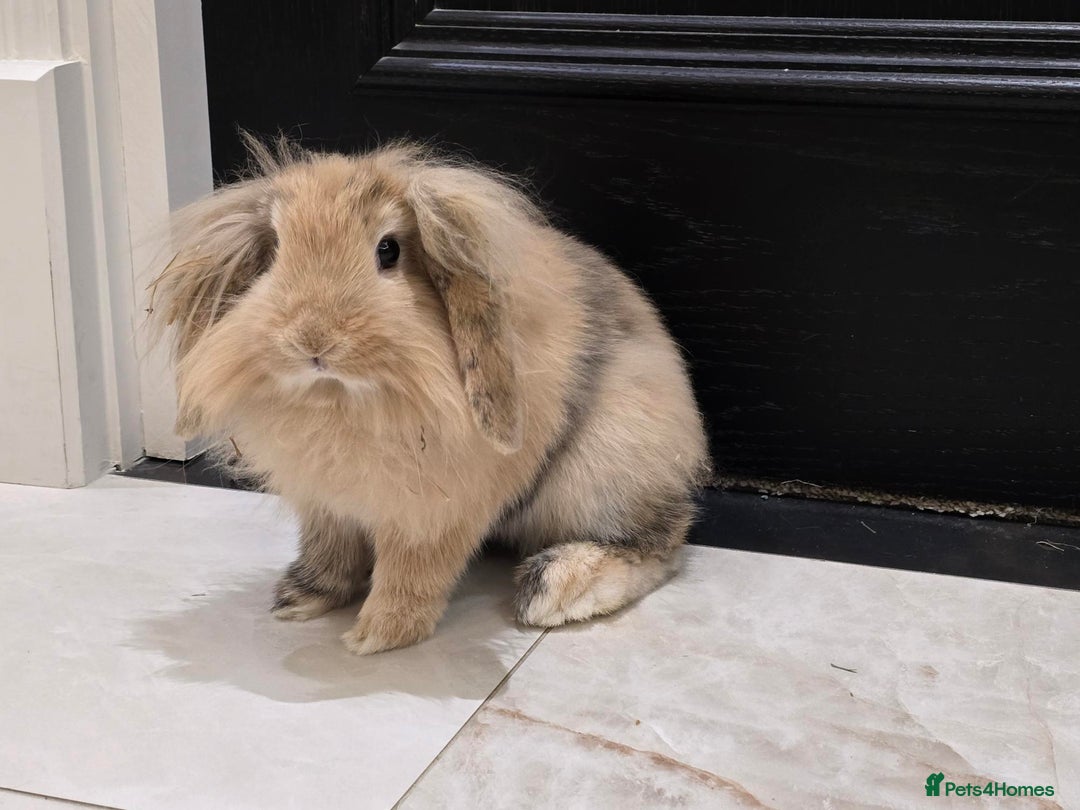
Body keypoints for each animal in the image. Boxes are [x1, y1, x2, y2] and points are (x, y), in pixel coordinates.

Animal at [149, 135, 710, 655]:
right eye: (276, 251)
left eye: (389, 250)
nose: (312, 339)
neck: (344, 400)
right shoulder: (325, 503)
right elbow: (330, 550)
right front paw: (300, 599)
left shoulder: (434, 514)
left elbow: (411, 572)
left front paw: (376, 634)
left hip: (604, 475)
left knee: (660, 544)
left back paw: (553, 589)